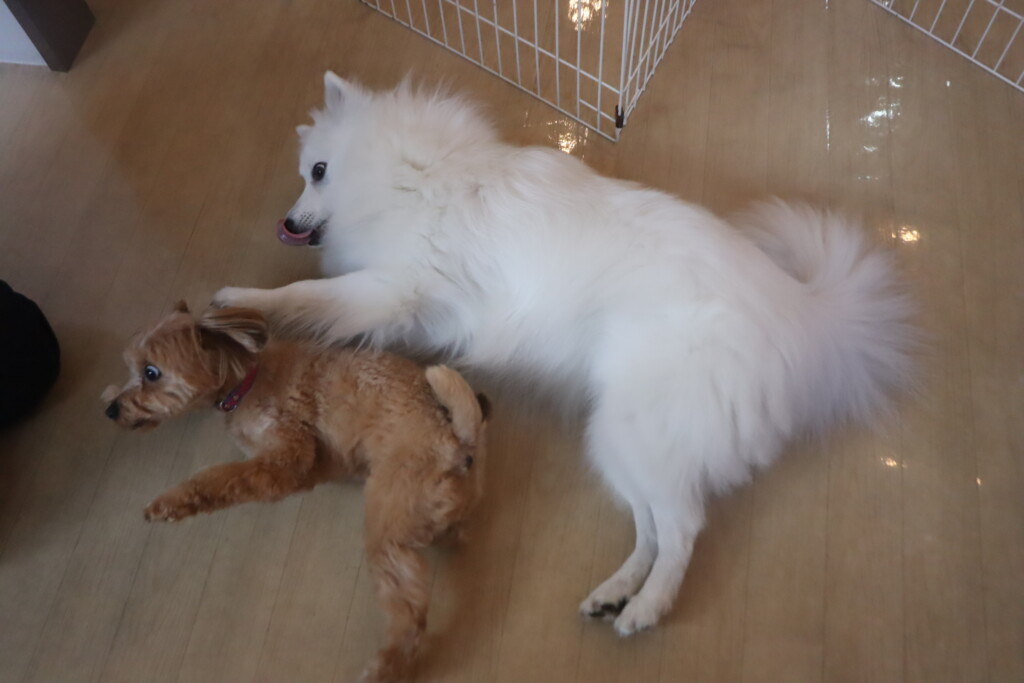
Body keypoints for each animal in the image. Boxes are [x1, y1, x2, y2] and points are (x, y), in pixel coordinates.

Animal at [102, 302, 489, 682]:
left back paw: (386, 666)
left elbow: (218, 478)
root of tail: (457, 439)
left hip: (387, 527)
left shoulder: (286, 456)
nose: (110, 409)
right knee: (452, 533)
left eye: (151, 372)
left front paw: (169, 503)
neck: (246, 379)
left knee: (410, 617)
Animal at [213, 74, 918, 636]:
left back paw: (647, 608)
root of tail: (801, 313)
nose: (290, 222)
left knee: (683, 526)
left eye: (317, 172)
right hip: (619, 440)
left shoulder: (390, 287)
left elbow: (304, 294)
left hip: (635, 428)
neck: (413, 178)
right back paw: (616, 591)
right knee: (652, 523)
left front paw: (241, 299)